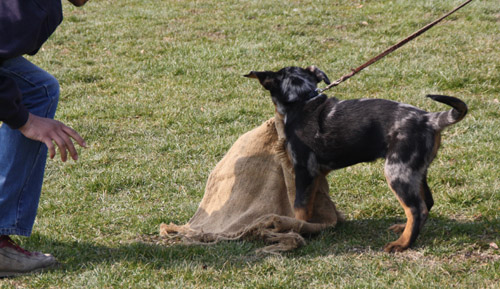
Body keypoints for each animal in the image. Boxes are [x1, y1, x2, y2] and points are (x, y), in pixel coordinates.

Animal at [244, 66, 466, 251]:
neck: (302, 100)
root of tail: (429, 119)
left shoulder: (304, 169)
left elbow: (300, 207)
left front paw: (298, 230)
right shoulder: (316, 173)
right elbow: (311, 203)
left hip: (397, 170)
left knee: (416, 208)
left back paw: (401, 244)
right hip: (416, 170)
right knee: (426, 203)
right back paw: (404, 229)